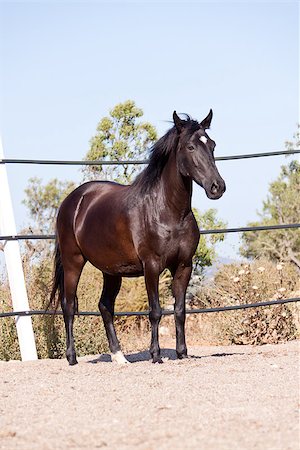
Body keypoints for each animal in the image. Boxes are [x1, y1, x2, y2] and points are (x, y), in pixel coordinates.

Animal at [50, 110, 226, 366]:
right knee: (69, 306)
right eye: (191, 146)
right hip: (74, 262)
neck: (168, 212)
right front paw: (156, 355)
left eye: (212, 145)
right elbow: (155, 311)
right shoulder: (151, 266)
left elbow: (180, 310)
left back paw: (119, 356)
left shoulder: (184, 266)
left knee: (105, 306)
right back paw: (72, 357)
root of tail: (72, 201)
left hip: (111, 271)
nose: (217, 187)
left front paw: (182, 353)